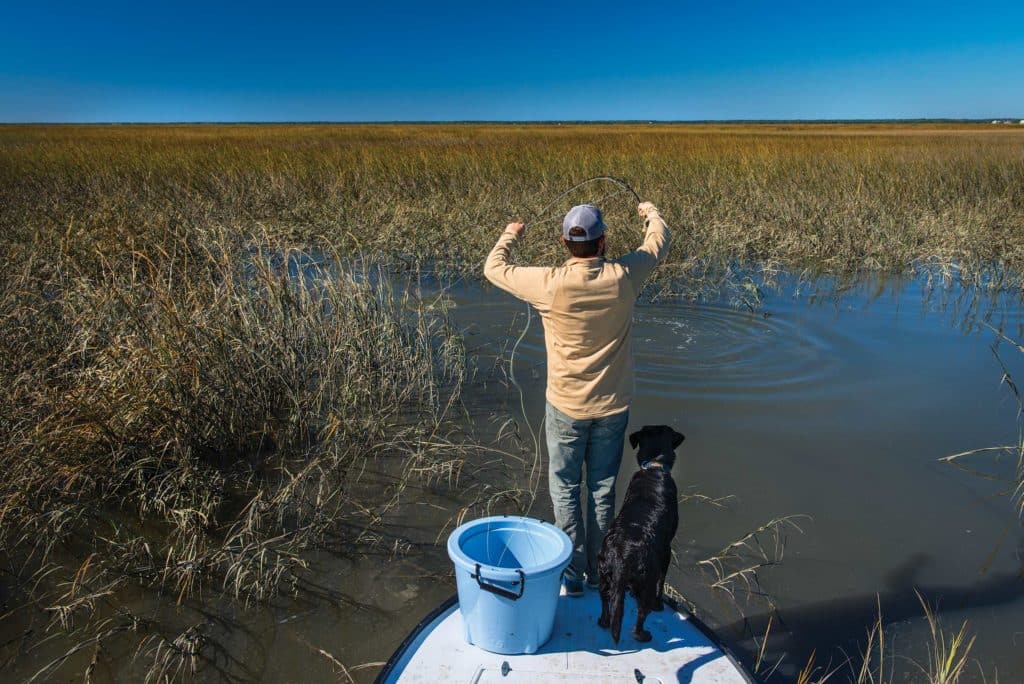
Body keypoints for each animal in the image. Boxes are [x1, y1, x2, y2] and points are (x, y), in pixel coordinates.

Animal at [598, 423, 684, 643]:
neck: (654, 467)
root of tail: (623, 554)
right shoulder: (667, 550)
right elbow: (662, 580)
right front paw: (660, 604)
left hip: (604, 574)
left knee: (605, 601)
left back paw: (603, 621)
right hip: (646, 583)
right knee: (641, 615)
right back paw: (644, 635)